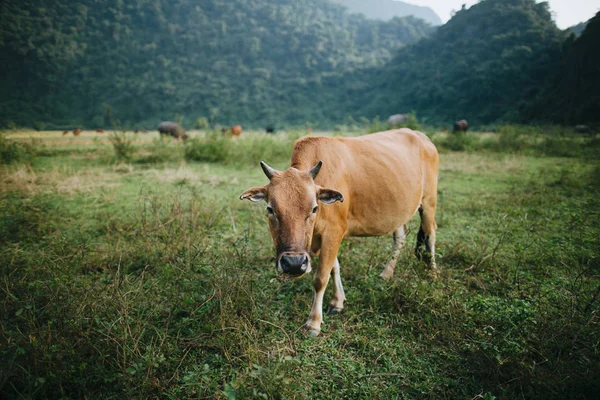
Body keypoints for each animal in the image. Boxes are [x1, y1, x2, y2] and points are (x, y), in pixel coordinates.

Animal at [240, 128, 440, 334]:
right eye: (270, 209)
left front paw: (314, 322)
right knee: (400, 237)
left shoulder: (334, 231)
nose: (294, 264)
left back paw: (432, 273)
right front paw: (337, 302)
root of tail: (422, 137)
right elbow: (334, 267)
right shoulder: (326, 236)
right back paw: (386, 275)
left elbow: (321, 277)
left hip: (429, 202)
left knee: (430, 234)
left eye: (314, 208)